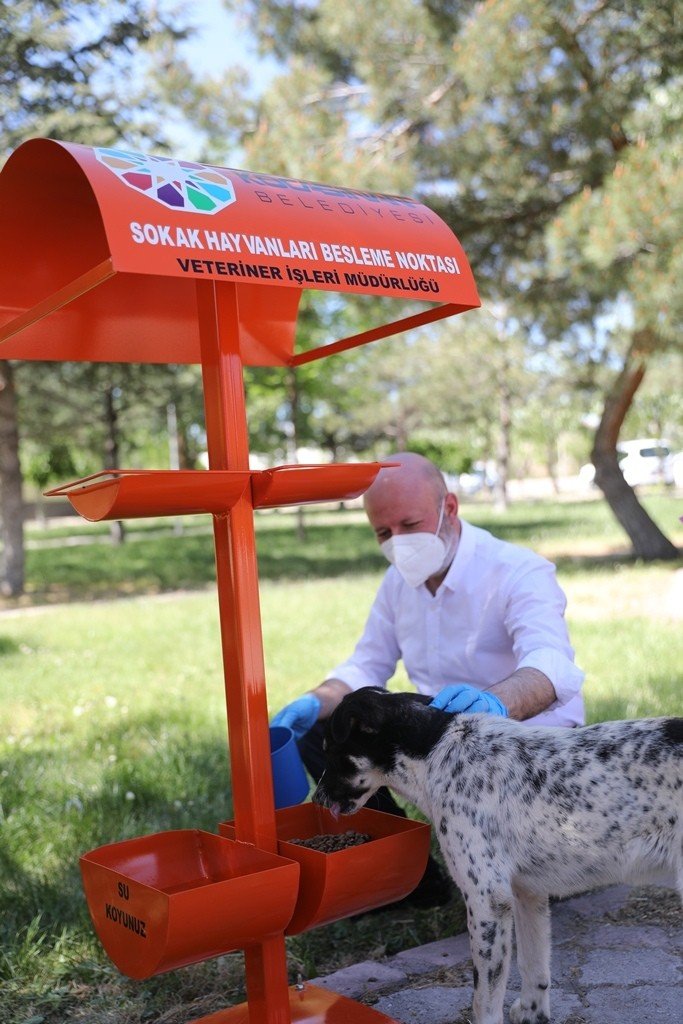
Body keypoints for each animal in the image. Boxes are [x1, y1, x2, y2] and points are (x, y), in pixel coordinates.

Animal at [313, 688, 679, 1024]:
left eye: (329, 749)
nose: (316, 800)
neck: (435, 752)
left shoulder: (487, 900)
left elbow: (485, 1000)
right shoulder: (526, 893)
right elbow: (533, 966)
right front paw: (532, 1014)